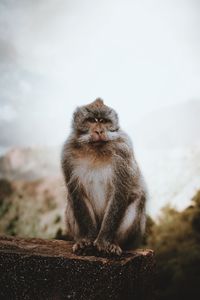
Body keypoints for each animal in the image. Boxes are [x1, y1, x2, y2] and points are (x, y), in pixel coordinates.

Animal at [61, 98, 147, 255]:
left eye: (104, 121)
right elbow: (77, 194)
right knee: (71, 201)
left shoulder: (123, 150)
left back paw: (115, 243)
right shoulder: (67, 154)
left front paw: (103, 242)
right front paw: (87, 239)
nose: (99, 131)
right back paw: (80, 240)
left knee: (139, 199)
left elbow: (119, 193)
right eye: (92, 120)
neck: (96, 150)